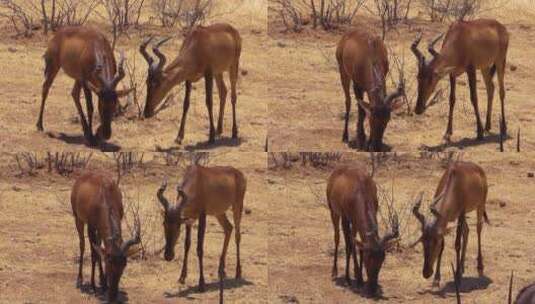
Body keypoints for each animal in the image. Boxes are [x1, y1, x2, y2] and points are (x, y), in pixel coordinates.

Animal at [72, 171, 141, 302]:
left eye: (124, 265)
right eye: (109, 264)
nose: (112, 297)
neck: (105, 194)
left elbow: (100, 251)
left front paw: (103, 283)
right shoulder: (91, 227)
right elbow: (94, 254)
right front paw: (93, 286)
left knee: (99, 246)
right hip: (78, 218)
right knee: (82, 244)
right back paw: (79, 280)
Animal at [324, 165, 400, 296]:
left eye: (382, 259)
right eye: (367, 259)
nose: (372, 289)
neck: (360, 188)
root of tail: (336, 171)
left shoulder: (360, 219)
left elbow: (359, 246)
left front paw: (359, 278)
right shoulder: (346, 218)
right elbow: (350, 245)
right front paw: (352, 279)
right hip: (334, 212)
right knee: (338, 238)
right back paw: (334, 272)